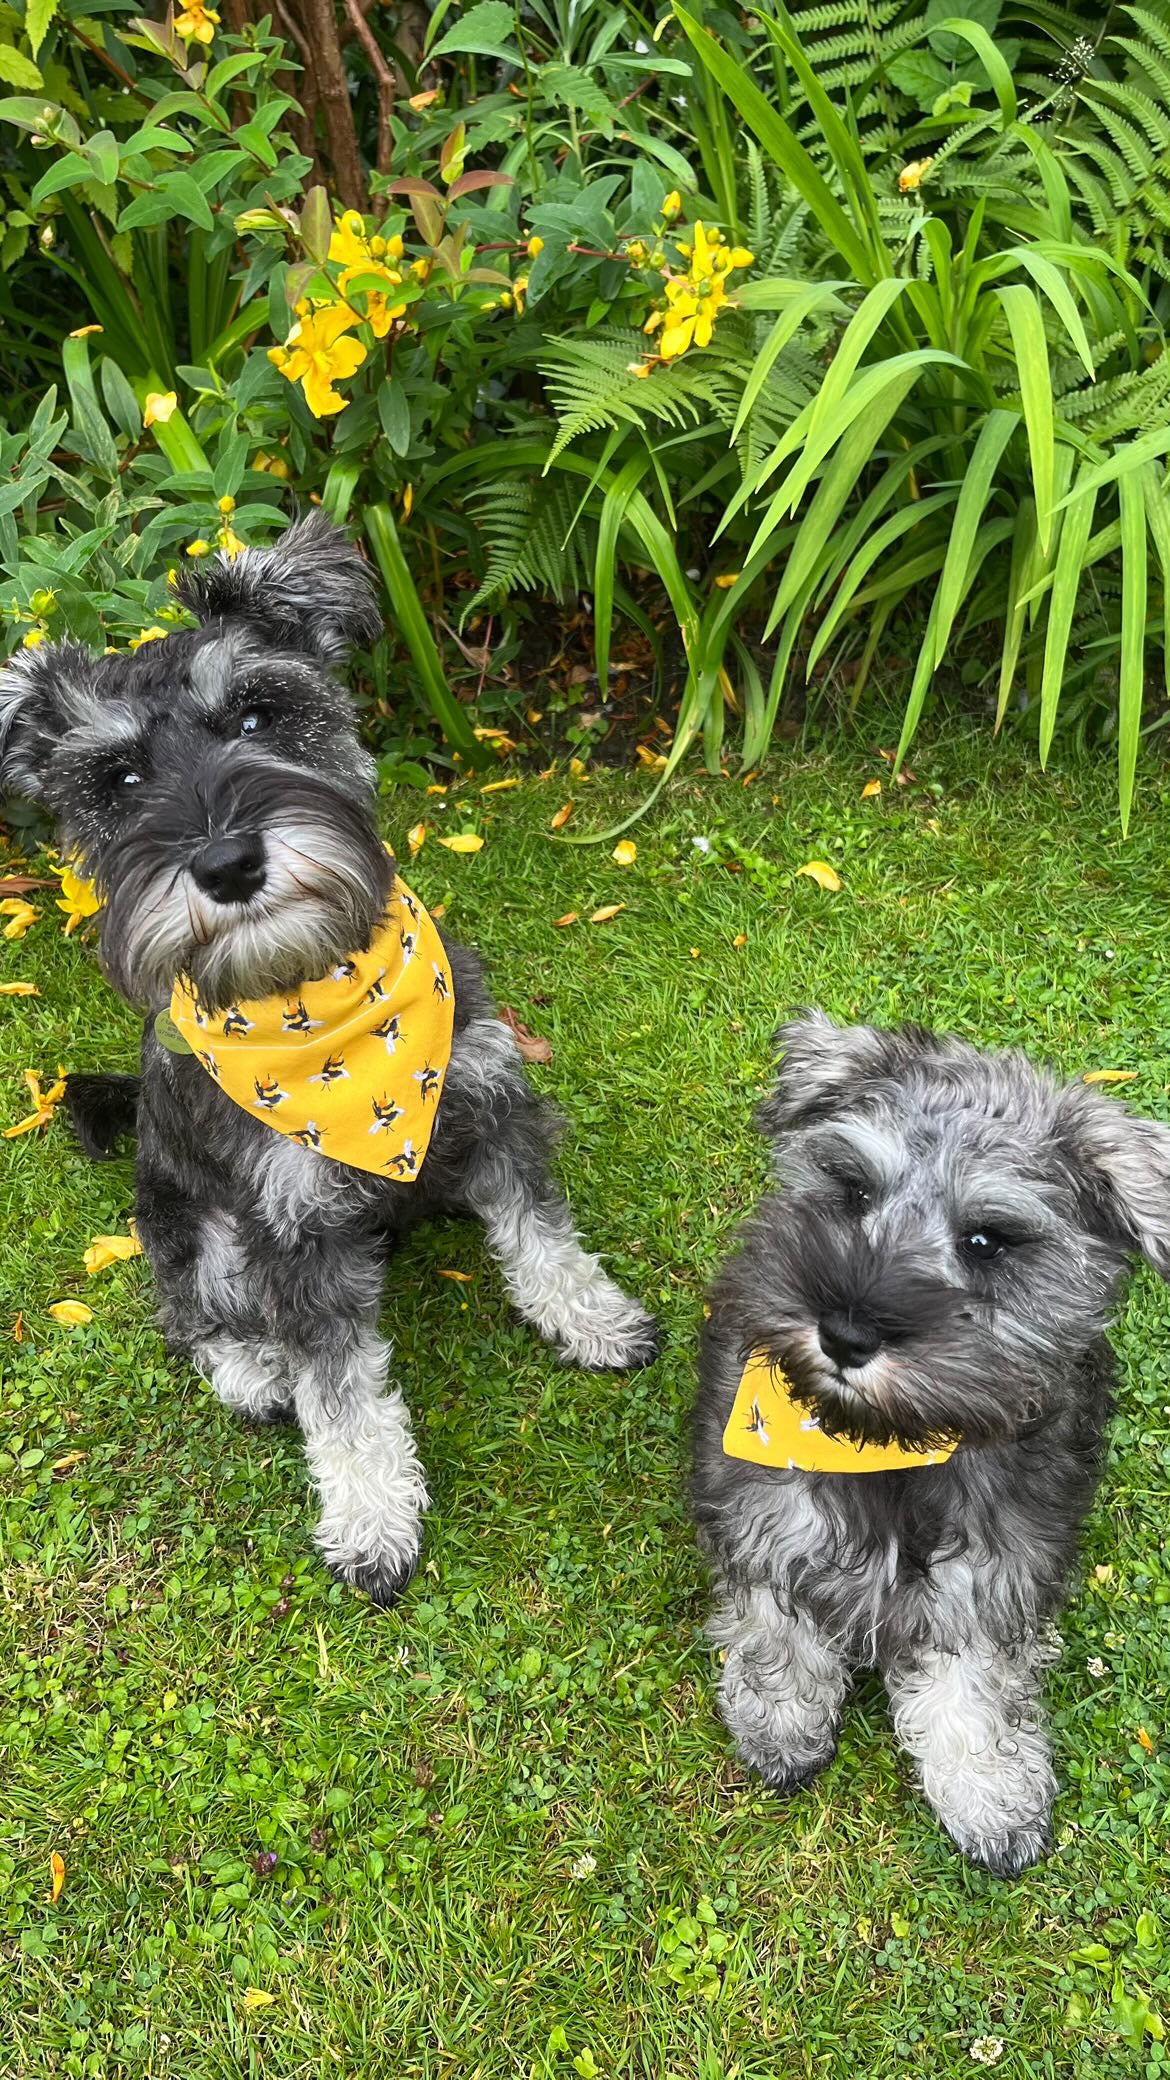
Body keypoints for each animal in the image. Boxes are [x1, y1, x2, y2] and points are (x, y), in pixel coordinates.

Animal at [2, 520, 657, 1605]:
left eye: (258, 713)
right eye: (120, 780)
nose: (226, 864)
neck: (319, 1010)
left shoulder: (492, 1106)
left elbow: (543, 1238)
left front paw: (593, 1320)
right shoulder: (290, 1232)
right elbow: (338, 1390)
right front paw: (371, 1520)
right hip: (191, 1230)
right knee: (191, 1318)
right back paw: (252, 1374)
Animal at [687, 1015, 1165, 1880]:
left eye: (986, 1240)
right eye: (853, 1193)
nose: (846, 1332)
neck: (885, 1448)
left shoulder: (992, 1572)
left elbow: (976, 1686)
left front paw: (991, 1796)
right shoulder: (762, 1517)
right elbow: (775, 1624)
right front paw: (780, 1721)